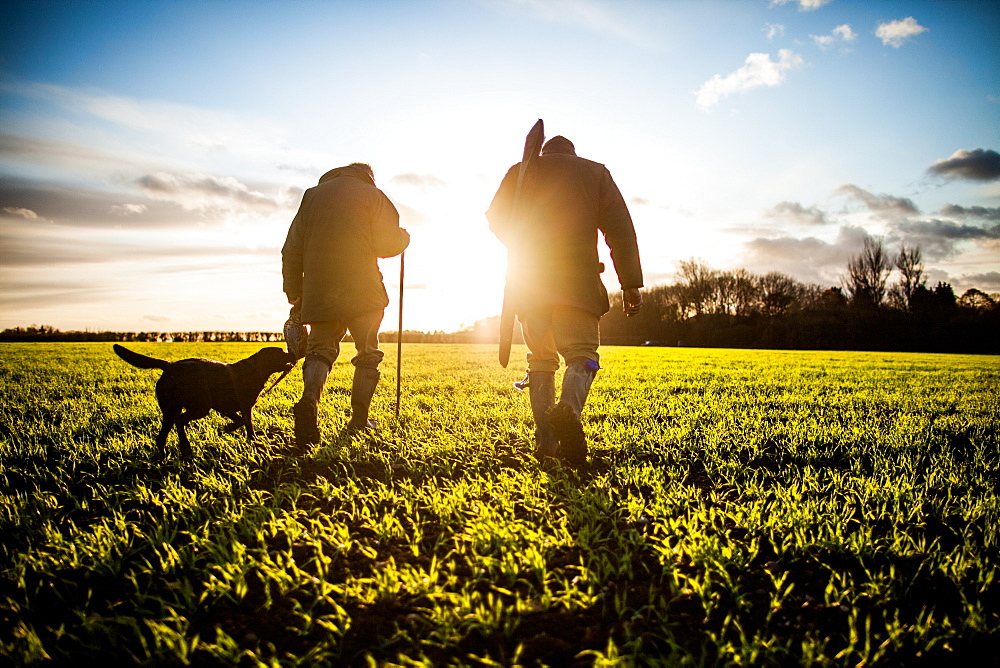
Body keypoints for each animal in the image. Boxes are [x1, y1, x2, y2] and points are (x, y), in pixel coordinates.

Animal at [113, 344, 294, 460]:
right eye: (281, 352)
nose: (293, 353)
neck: (256, 369)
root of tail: (170, 366)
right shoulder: (244, 406)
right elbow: (248, 424)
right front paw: (255, 440)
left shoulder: (226, 408)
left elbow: (239, 421)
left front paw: (226, 429)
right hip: (200, 406)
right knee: (180, 421)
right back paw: (185, 447)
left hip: (171, 409)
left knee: (162, 435)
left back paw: (164, 457)